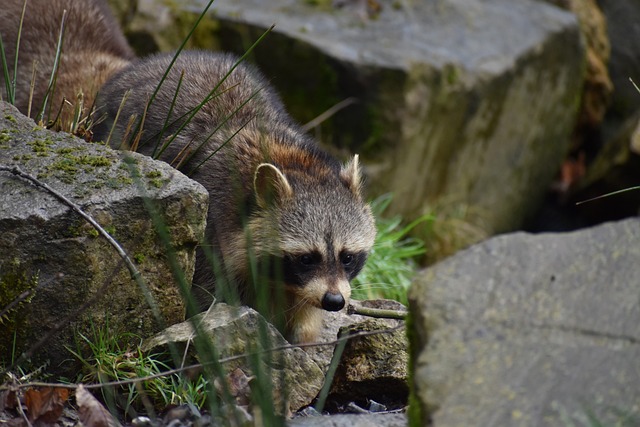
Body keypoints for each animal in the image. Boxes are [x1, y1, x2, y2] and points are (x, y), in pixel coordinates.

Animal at [94, 51, 376, 344]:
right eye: (307, 258)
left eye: (347, 257)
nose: (334, 301)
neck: (296, 163)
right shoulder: (212, 227)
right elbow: (206, 300)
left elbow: (304, 320)